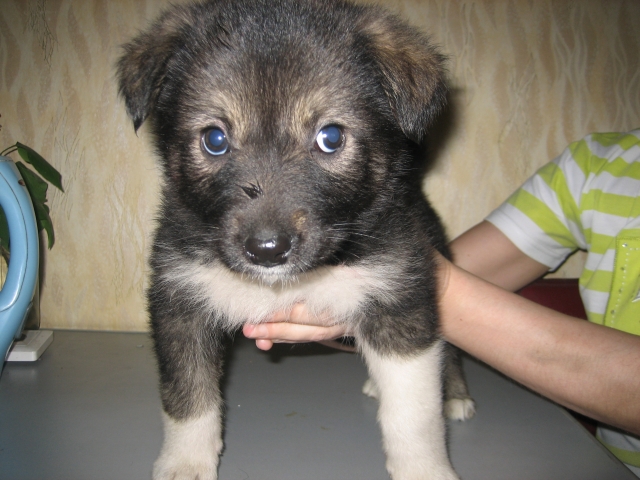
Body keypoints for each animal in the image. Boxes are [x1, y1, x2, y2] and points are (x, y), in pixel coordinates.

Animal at [116, 1, 476, 478]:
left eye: (330, 137)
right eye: (215, 139)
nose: (267, 250)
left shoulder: (401, 296)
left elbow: (414, 415)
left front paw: (424, 469)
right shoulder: (180, 302)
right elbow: (187, 395)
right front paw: (185, 462)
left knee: (448, 353)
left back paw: (455, 394)